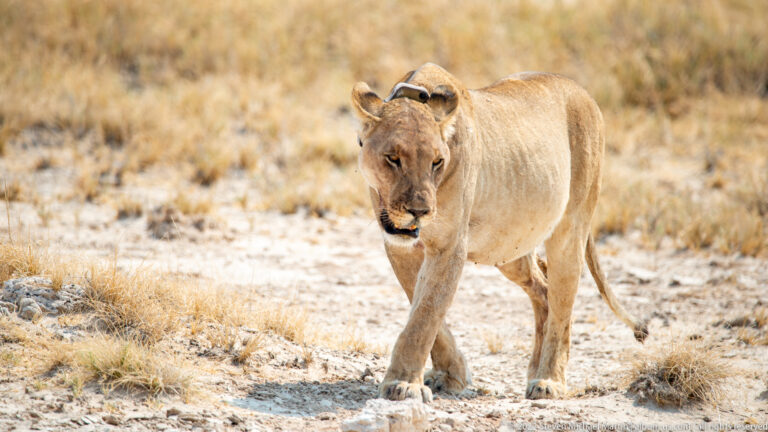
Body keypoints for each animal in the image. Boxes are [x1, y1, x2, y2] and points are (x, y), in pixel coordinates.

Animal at [350, 63, 648, 402]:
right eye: (393, 158)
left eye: (437, 162)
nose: (420, 211)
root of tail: (584, 94)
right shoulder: (402, 248)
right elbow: (423, 308)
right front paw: (450, 374)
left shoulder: (449, 246)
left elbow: (425, 314)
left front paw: (403, 383)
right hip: (509, 247)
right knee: (543, 287)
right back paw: (534, 370)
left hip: (570, 228)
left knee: (562, 302)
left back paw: (548, 380)